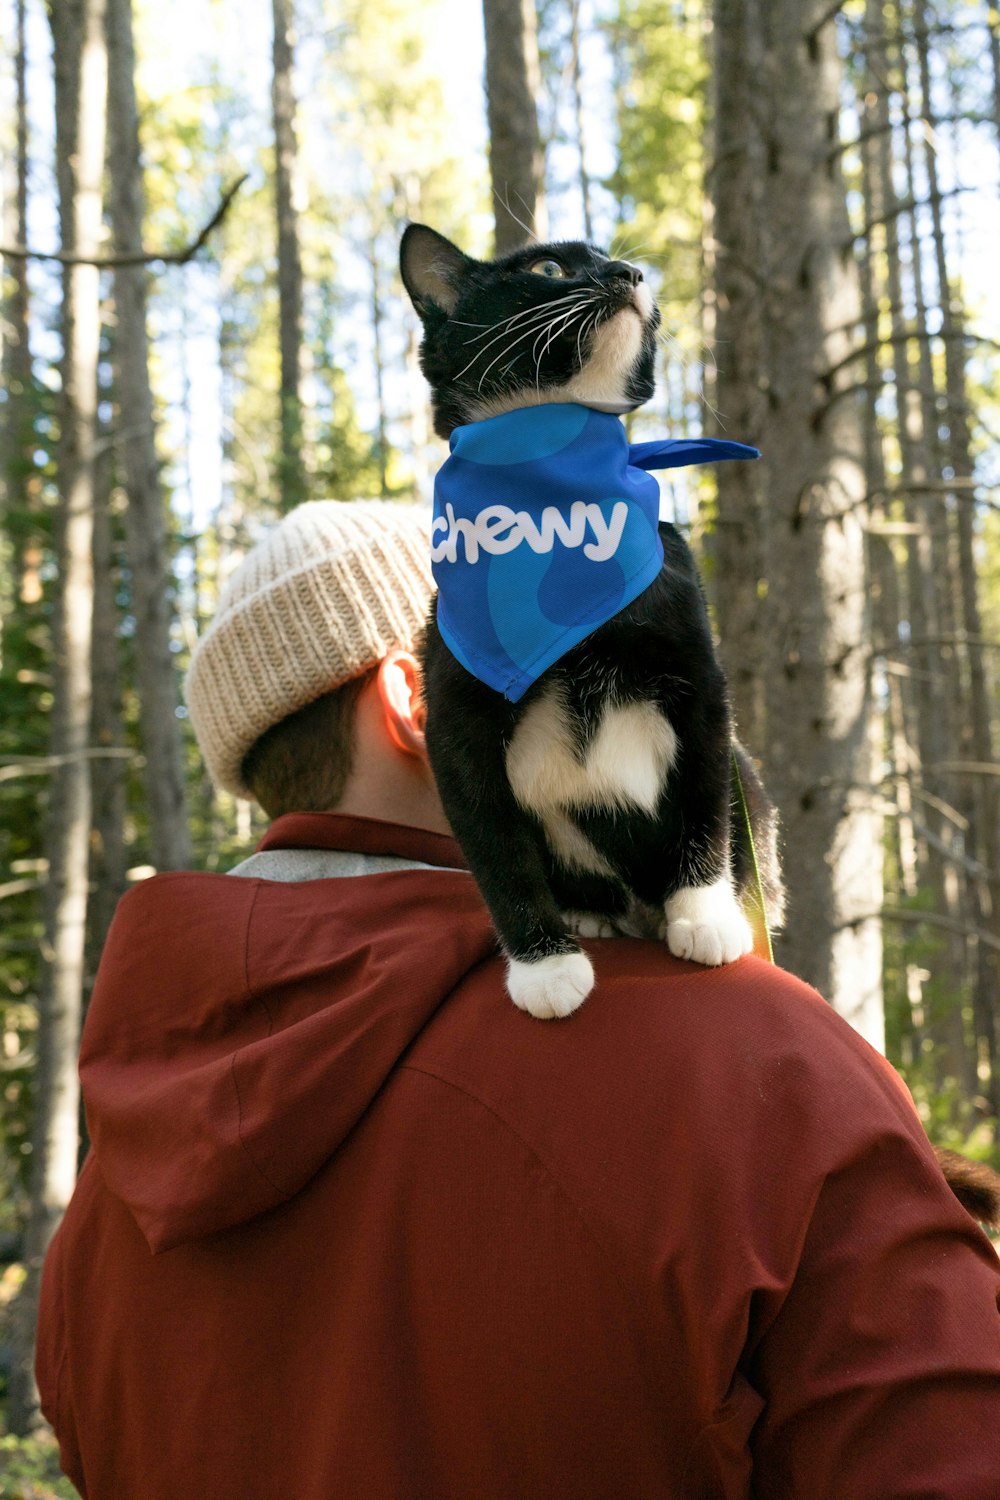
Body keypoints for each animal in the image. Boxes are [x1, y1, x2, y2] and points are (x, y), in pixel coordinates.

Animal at [398, 222, 779, 1020]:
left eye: (612, 259)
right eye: (547, 268)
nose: (632, 272)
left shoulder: (699, 679)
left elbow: (704, 795)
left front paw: (706, 912)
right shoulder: (455, 718)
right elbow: (498, 849)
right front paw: (545, 964)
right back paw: (588, 915)